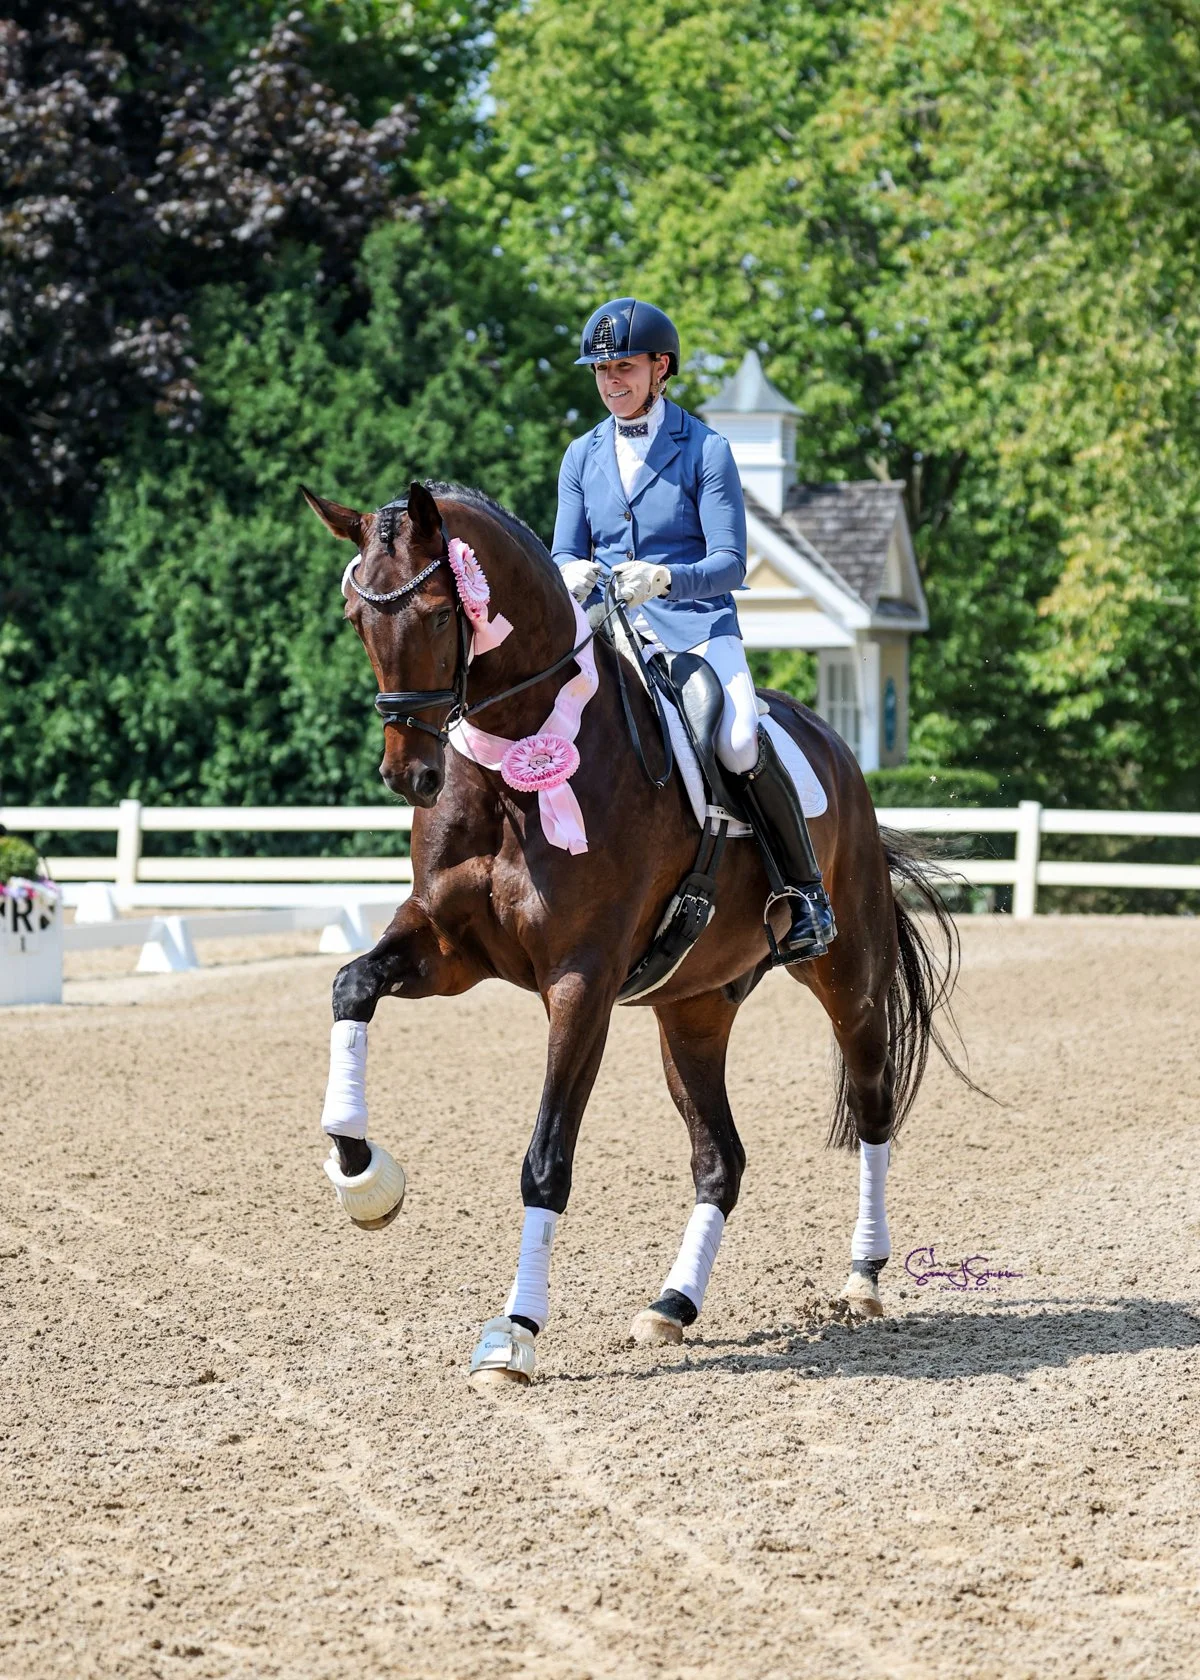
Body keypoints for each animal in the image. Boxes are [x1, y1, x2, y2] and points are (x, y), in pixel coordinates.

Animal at [302, 477, 967, 1386]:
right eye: (355, 617)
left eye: (440, 613)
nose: (413, 776)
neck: (516, 772)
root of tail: (829, 742)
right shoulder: (445, 948)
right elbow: (350, 986)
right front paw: (364, 1180)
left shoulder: (580, 981)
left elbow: (546, 1159)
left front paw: (514, 1332)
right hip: (694, 1009)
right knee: (720, 1160)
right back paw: (671, 1305)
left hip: (849, 977)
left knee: (872, 1110)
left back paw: (863, 1277)